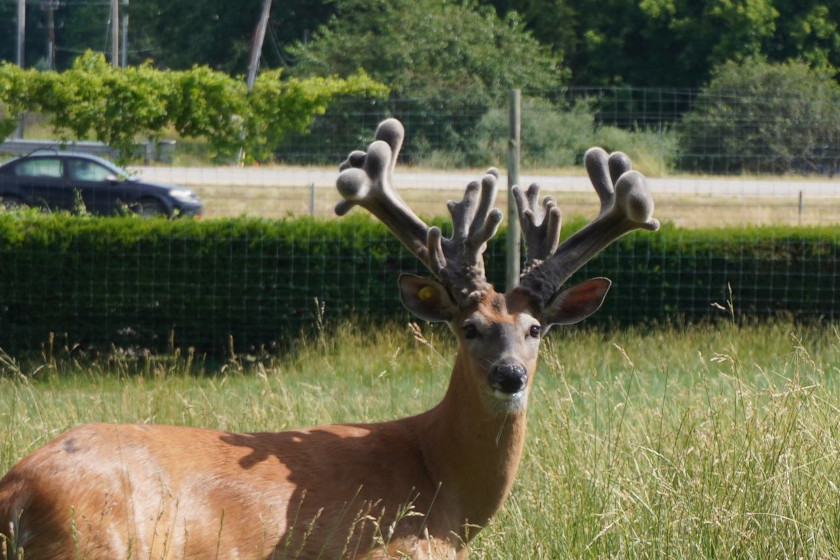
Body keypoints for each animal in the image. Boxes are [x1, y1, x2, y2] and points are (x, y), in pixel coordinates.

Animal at [0, 116, 656, 556]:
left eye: (535, 328)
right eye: (469, 327)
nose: (510, 375)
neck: (444, 490)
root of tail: (16, 493)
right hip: (95, 543)